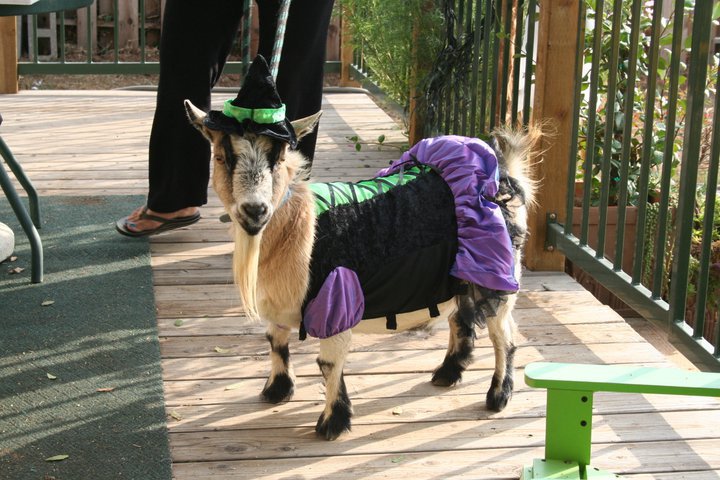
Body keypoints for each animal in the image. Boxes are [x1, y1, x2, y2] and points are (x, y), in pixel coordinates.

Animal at [184, 98, 539, 441]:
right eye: (221, 157)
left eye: (279, 157)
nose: (256, 210)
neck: (301, 229)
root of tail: (504, 174)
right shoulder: (279, 300)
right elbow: (276, 340)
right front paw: (277, 391)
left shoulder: (336, 301)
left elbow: (328, 363)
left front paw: (332, 423)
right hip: (457, 275)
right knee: (461, 318)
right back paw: (447, 373)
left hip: (496, 271)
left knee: (503, 335)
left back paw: (498, 396)